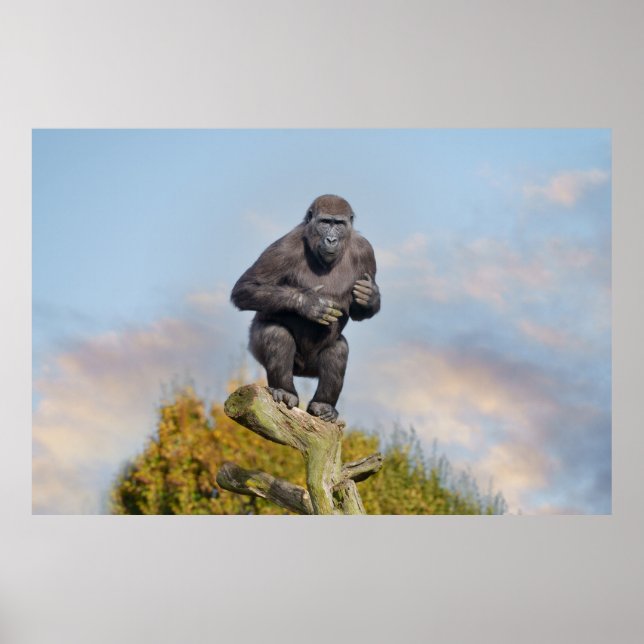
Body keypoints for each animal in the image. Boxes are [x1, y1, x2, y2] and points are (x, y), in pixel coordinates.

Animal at [231, 194, 380, 423]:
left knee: (338, 349)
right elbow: (246, 287)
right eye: (325, 222)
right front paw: (310, 303)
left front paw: (369, 296)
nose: (331, 239)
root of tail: (302, 372)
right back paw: (285, 391)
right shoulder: (284, 248)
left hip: (311, 369)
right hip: (258, 352)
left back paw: (324, 405)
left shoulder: (366, 251)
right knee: (276, 334)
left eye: (339, 224)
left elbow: (360, 311)